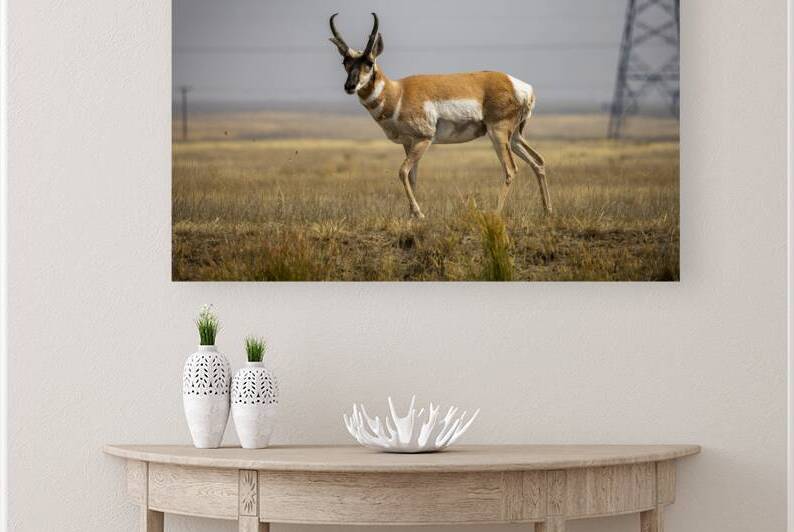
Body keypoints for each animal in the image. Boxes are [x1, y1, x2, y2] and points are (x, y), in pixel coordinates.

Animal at [329, 12, 552, 219]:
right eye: (345, 62)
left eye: (369, 62)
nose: (350, 86)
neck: (398, 93)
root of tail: (519, 86)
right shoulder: (408, 143)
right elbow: (412, 177)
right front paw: (412, 216)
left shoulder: (423, 139)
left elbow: (402, 172)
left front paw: (418, 213)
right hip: (514, 137)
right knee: (538, 161)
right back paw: (547, 210)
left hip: (498, 133)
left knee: (511, 169)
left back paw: (494, 213)